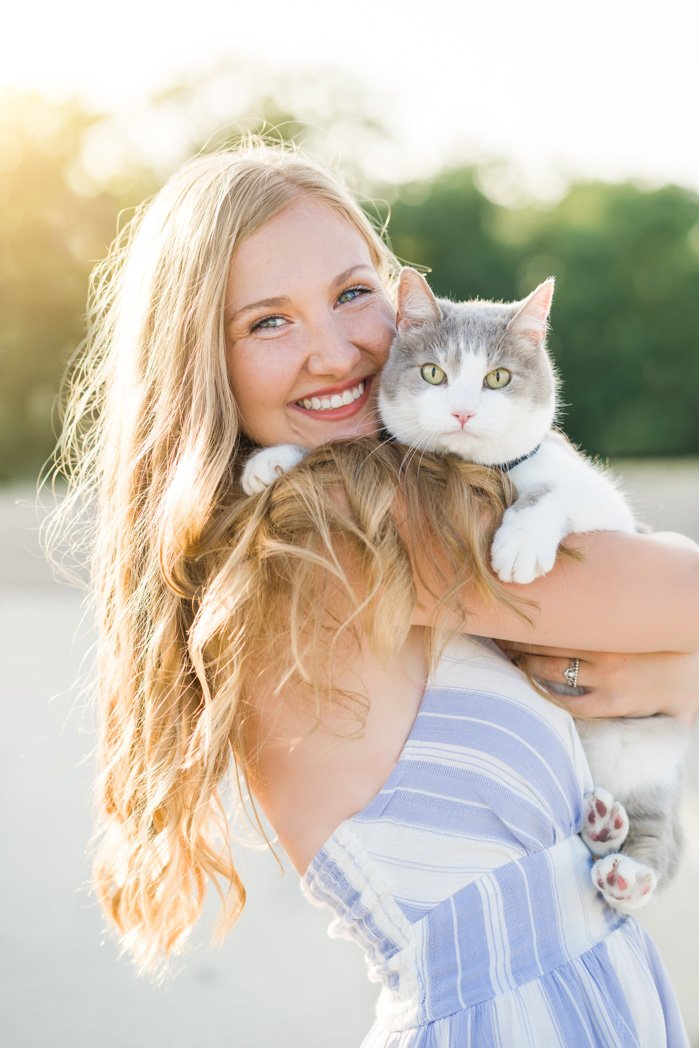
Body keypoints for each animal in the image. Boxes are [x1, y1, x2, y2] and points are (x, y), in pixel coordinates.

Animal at [243, 268, 691, 909]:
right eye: (434, 373)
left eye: (497, 378)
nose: (461, 412)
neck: (488, 470)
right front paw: (274, 459)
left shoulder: (606, 507)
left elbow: (552, 492)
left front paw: (521, 543)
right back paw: (606, 829)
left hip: (636, 747)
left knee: (662, 838)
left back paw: (629, 871)